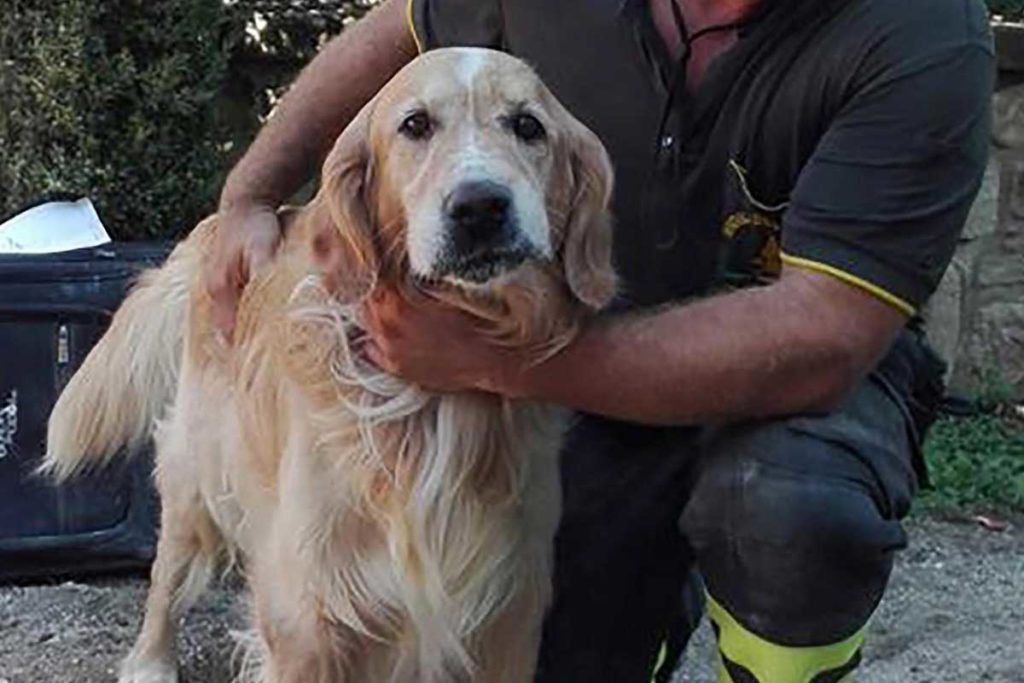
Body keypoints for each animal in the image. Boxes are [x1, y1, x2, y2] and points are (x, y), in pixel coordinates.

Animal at [41, 48, 614, 683]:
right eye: (415, 125)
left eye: (528, 126)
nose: (480, 207)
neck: (430, 407)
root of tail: (214, 225)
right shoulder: (307, 620)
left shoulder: (506, 616)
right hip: (196, 475)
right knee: (168, 574)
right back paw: (151, 663)